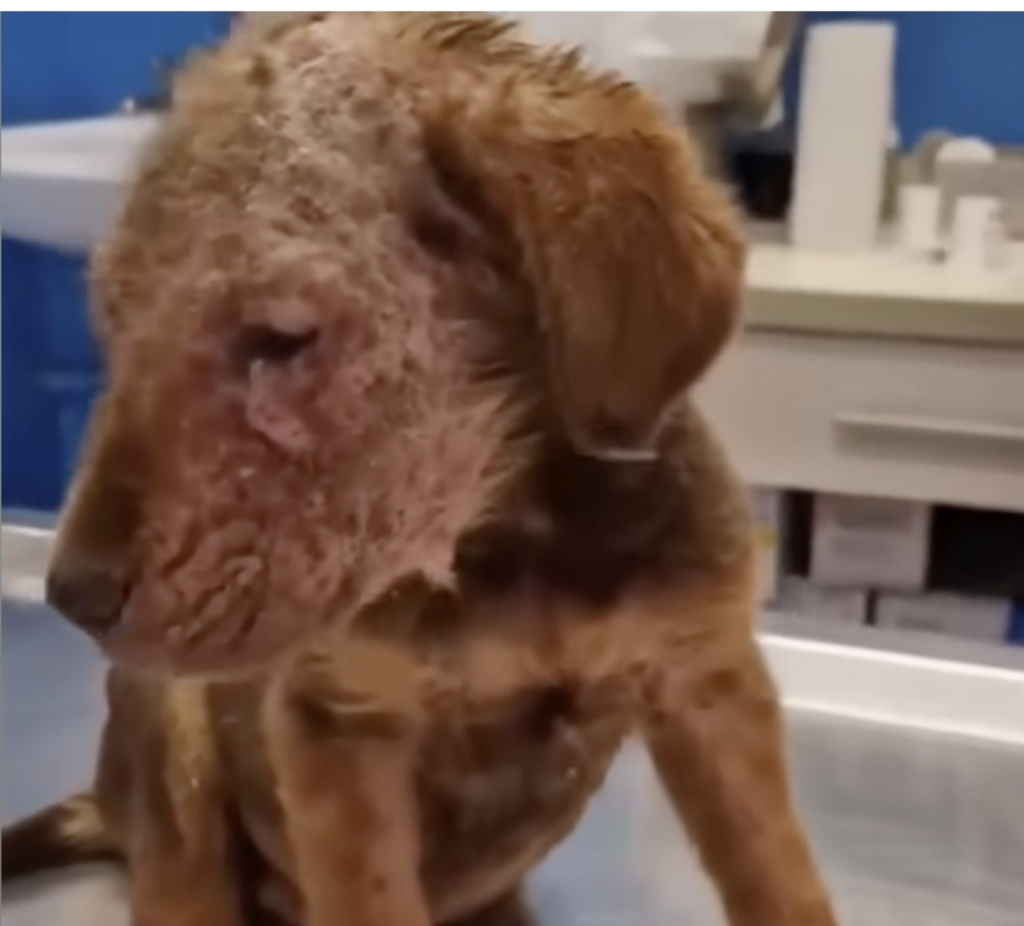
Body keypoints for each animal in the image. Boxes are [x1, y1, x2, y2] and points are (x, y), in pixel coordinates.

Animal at [4, 14, 838, 926]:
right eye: (111, 317)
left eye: (281, 338)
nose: (71, 595)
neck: (515, 539)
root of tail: (104, 801)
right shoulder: (338, 721)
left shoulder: (708, 674)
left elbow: (780, 875)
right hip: (170, 746)